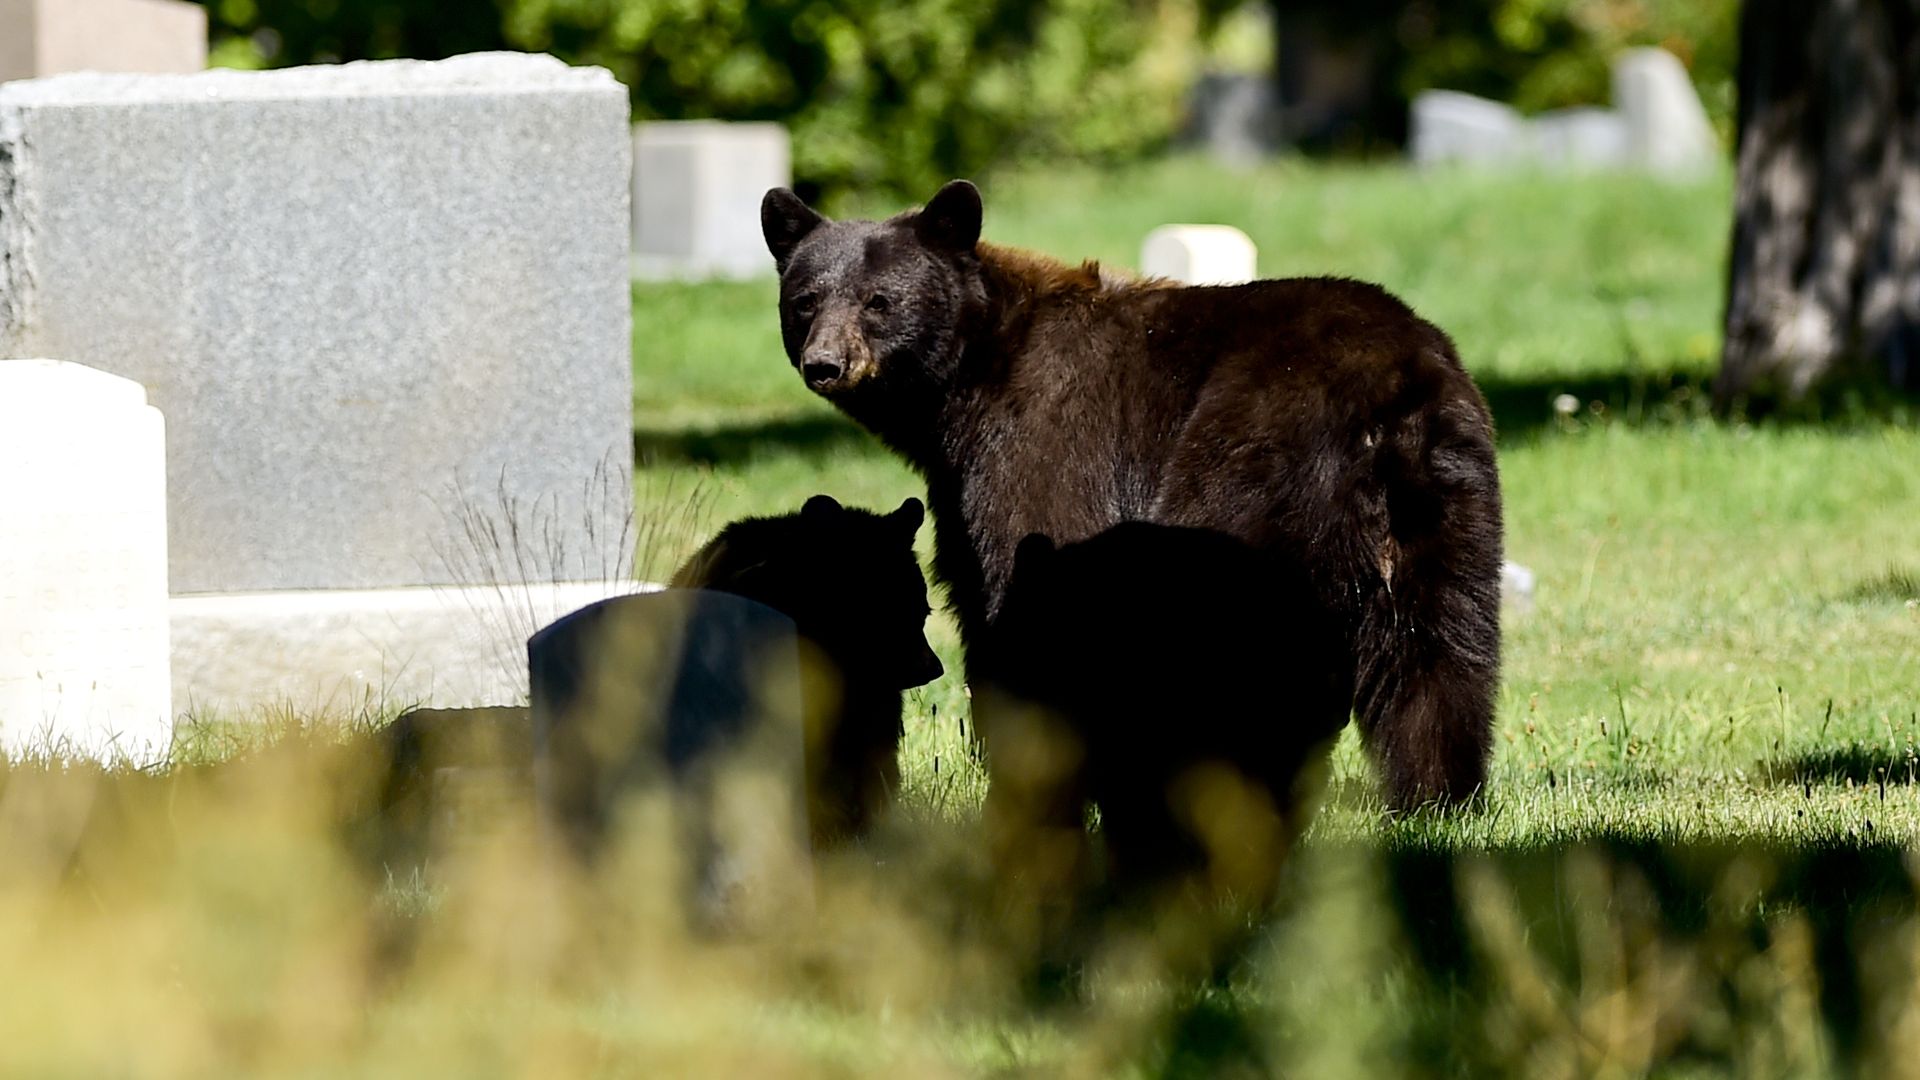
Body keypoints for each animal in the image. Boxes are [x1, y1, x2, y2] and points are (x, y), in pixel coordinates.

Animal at [759, 179, 1504, 811]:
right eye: (805, 300)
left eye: (880, 301)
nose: (826, 364)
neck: (965, 386)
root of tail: (1397, 391)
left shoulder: (1041, 440)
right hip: (1449, 502)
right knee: (1442, 649)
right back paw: (1437, 795)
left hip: (1258, 463)